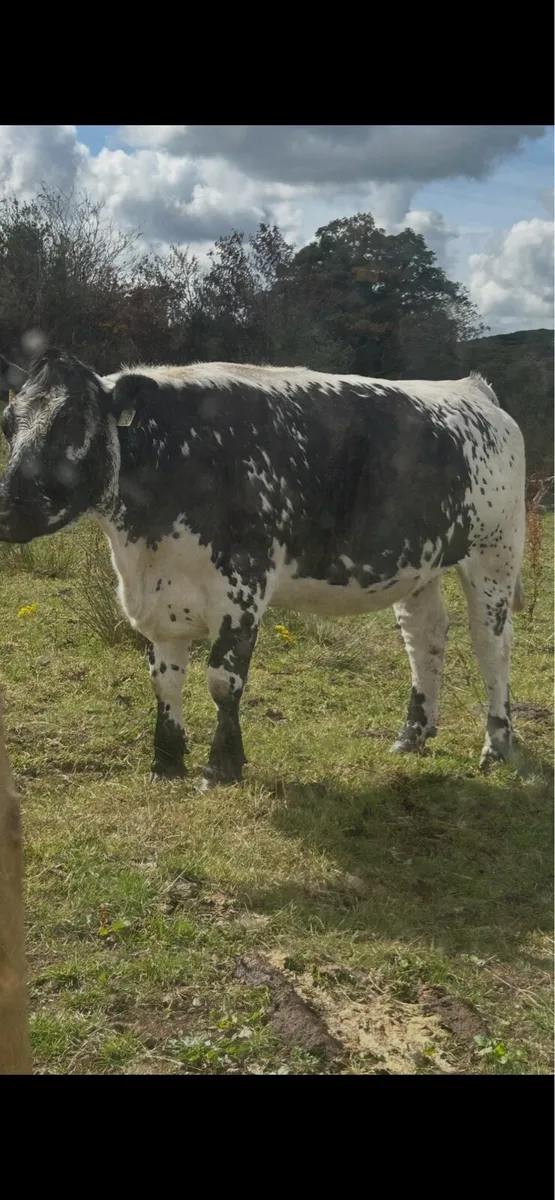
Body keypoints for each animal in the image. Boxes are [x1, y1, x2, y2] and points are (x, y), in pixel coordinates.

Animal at [0, 349, 525, 787]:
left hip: (495, 555)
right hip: (420, 563)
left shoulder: (242, 588)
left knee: (492, 645)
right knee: (425, 635)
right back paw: (412, 735)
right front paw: (166, 764)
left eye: (71, 421)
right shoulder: (159, 594)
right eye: (8, 423)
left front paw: (221, 766)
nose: (7, 508)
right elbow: (164, 679)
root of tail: (471, 388)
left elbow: (222, 680)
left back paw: (497, 746)